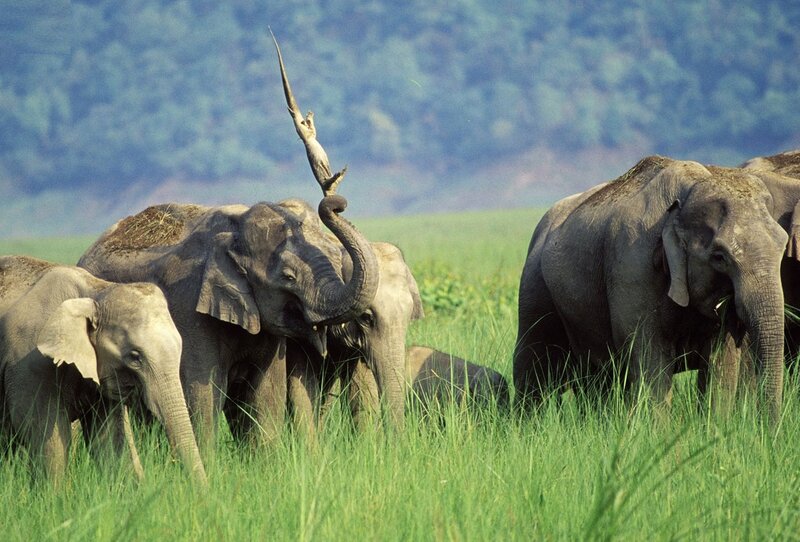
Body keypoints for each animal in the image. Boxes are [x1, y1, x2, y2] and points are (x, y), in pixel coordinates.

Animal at [0, 255, 206, 486]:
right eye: (135, 357)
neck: (95, 293)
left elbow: (109, 440)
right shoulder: (30, 364)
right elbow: (46, 435)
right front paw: (54, 493)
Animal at [512, 155, 788, 420]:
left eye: (783, 246)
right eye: (719, 257)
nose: (768, 428)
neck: (689, 190)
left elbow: (721, 365)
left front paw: (716, 427)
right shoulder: (632, 265)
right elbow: (649, 359)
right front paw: (657, 432)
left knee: (595, 378)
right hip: (535, 285)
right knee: (533, 365)